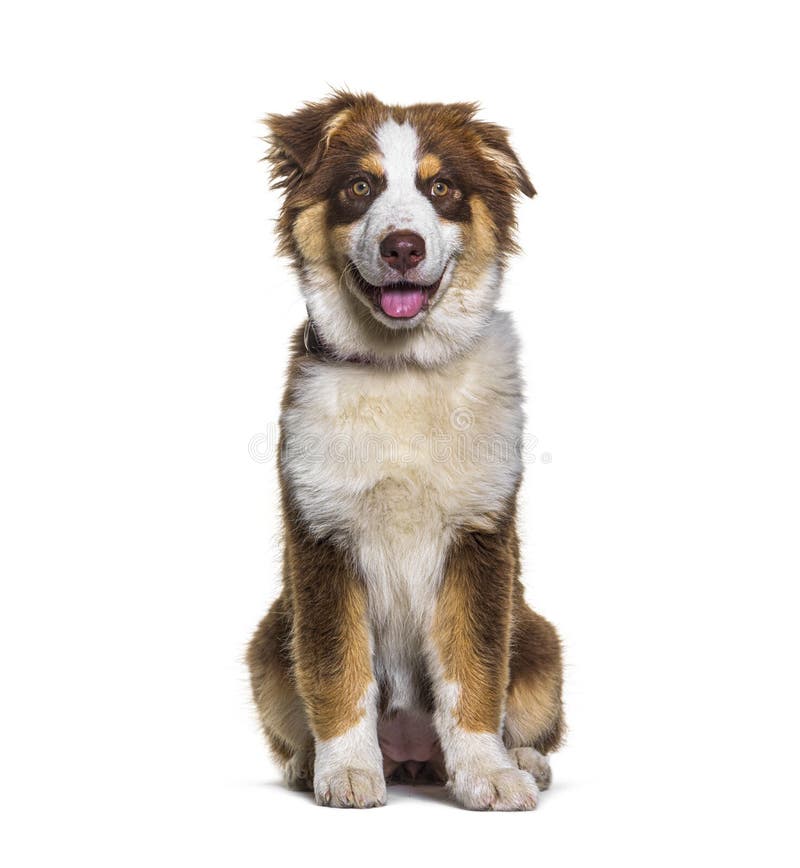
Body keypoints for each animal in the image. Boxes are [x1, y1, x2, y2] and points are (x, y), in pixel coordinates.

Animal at [247, 91, 564, 812]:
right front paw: (345, 772)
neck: (403, 371)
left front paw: (488, 774)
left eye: (440, 188)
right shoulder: (323, 537)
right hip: (268, 644)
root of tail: (414, 757)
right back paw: (310, 764)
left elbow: (475, 666)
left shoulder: (478, 537)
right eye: (359, 188)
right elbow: (336, 667)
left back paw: (523, 758)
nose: (401, 247)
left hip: (540, 641)